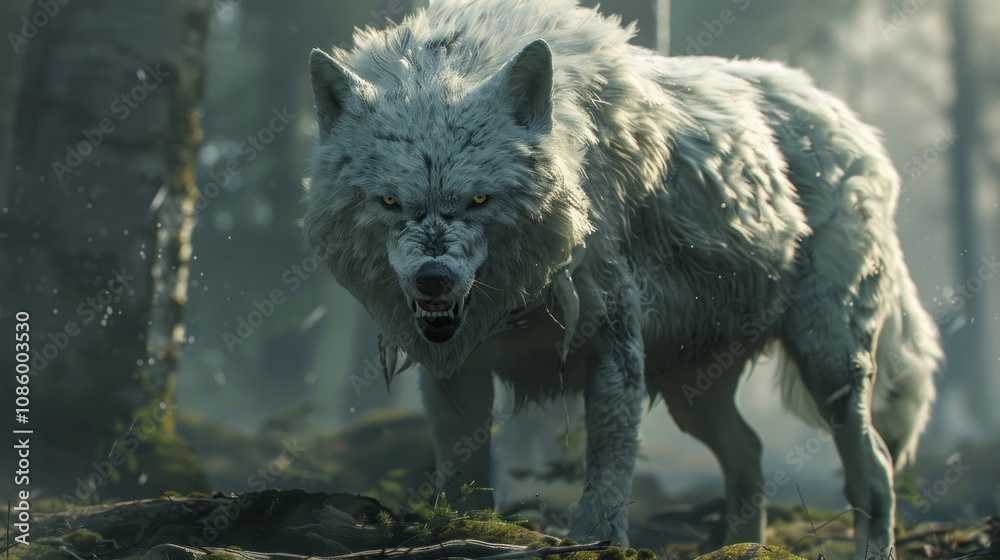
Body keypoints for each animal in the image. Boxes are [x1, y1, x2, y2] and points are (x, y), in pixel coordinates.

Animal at [304, 0, 942, 555]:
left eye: (480, 199)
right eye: (390, 202)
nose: (433, 281)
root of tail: (854, 123)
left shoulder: (614, 345)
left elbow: (609, 464)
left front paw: (597, 540)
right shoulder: (456, 372)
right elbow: (465, 479)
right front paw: (462, 532)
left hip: (828, 361)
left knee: (875, 470)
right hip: (694, 390)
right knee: (751, 452)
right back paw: (742, 548)